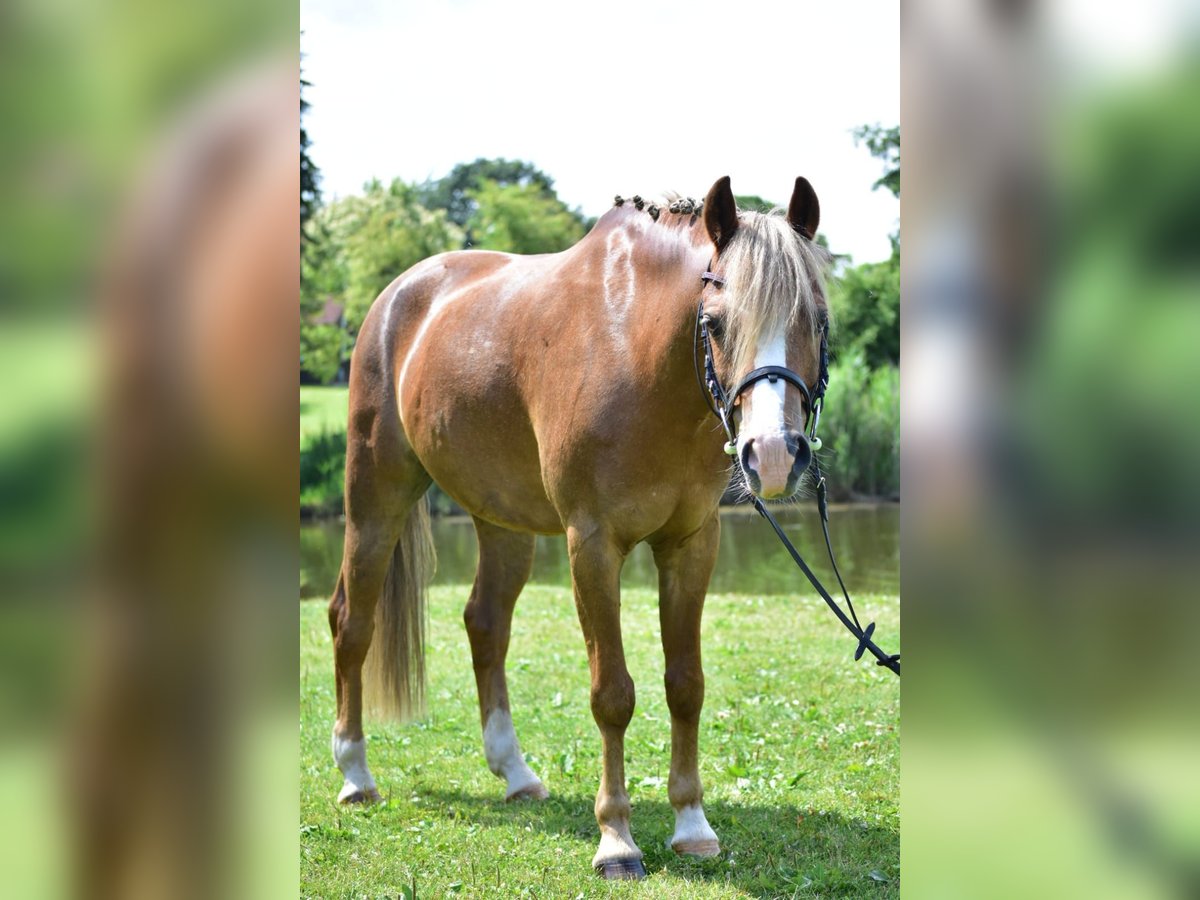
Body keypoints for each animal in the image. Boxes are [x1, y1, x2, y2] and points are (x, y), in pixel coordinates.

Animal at [328, 176, 835, 883]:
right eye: (713, 322)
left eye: (816, 319)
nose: (775, 454)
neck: (637, 352)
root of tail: (395, 297)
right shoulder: (592, 546)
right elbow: (612, 695)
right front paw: (617, 839)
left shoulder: (691, 544)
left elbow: (686, 685)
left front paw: (692, 825)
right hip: (376, 498)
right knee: (352, 622)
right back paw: (354, 774)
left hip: (501, 522)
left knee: (485, 625)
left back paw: (516, 774)